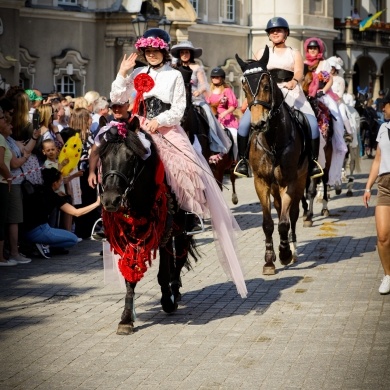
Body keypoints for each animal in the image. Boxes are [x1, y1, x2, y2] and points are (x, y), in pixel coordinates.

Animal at [99, 119, 198, 336]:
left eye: (130, 157)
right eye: (102, 156)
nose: (111, 200)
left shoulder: (164, 232)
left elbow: (163, 272)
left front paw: (167, 301)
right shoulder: (129, 237)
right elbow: (130, 277)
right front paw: (126, 318)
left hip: (183, 228)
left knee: (180, 257)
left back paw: (174, 291)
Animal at [236, 48, 310, 274]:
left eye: (267, 85)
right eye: (244, 85)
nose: (258, 124)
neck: (273, 140)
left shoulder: (290, 181)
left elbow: (284, 222)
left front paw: (284, 254)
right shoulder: (261, 181)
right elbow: (268, 222)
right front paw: (269, 260)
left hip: (300, 179)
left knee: (292, 214)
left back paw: (293, 250)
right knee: (279, 208)